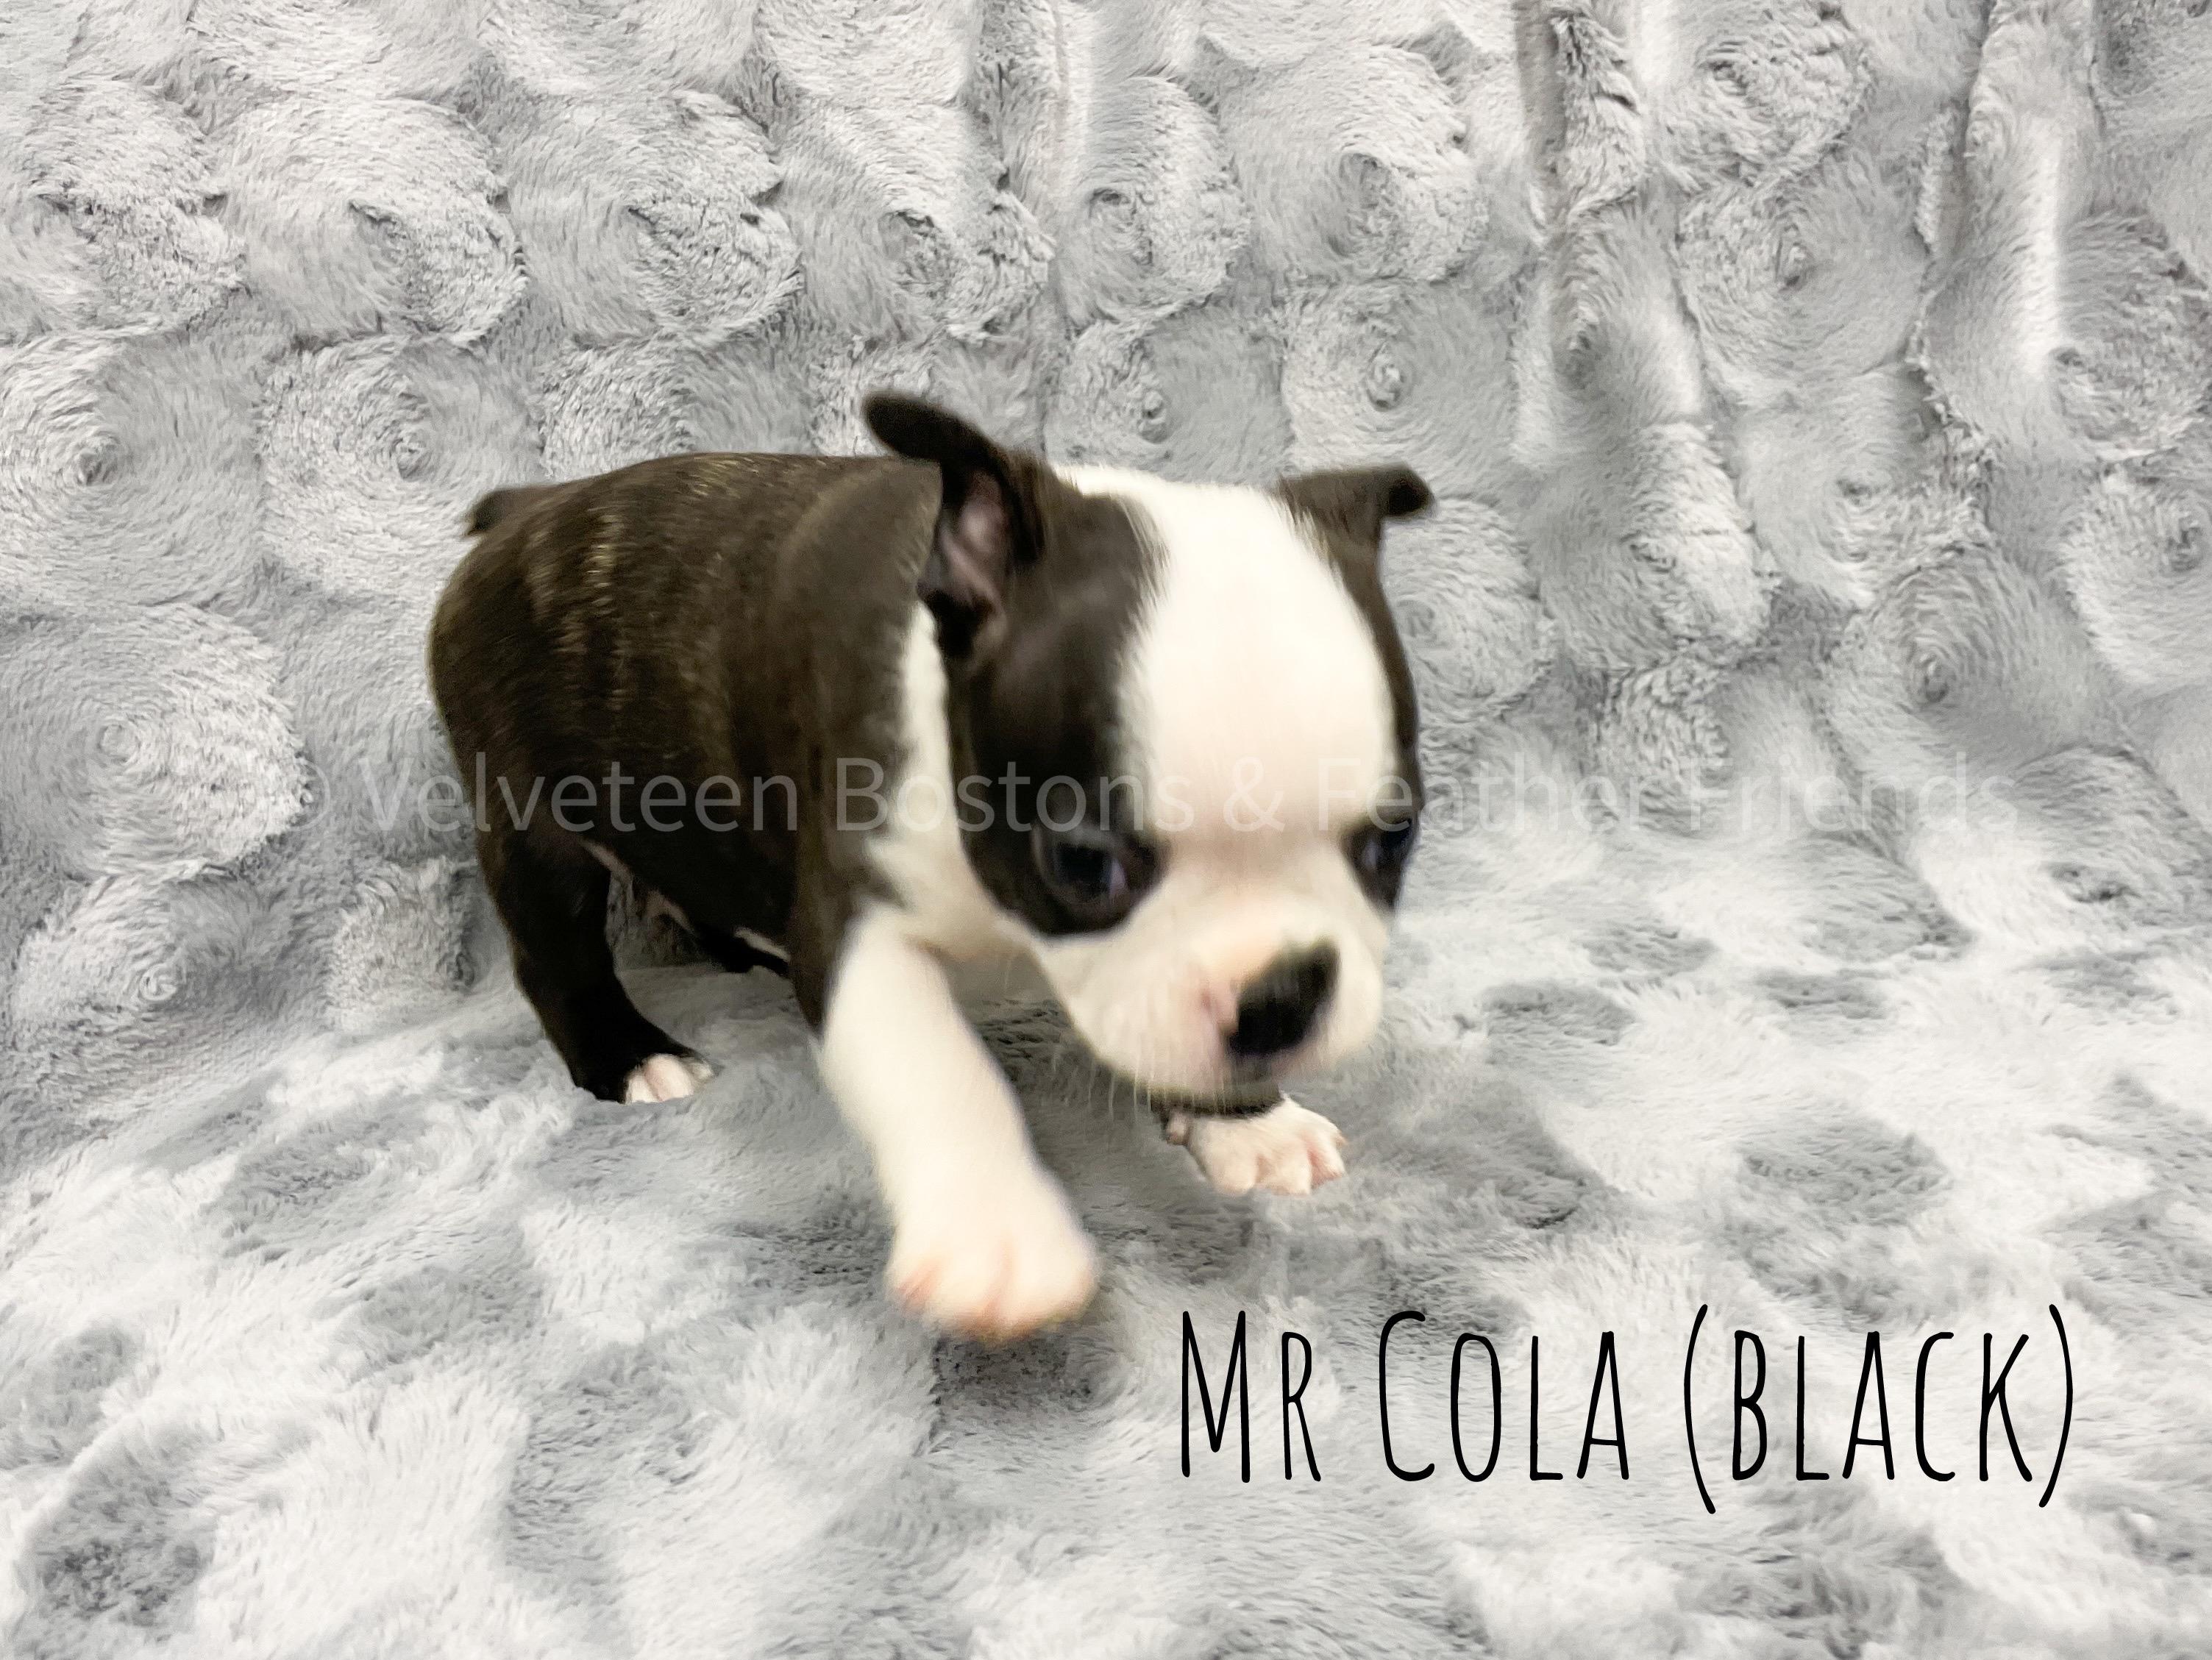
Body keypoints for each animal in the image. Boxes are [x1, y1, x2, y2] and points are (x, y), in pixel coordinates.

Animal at [428, 395, 1431, 1340]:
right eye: (1083, 863)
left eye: (1395, 840)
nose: (1283, 998)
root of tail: (527, 508)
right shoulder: (861, 925)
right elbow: (939, 1069)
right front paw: (997, 1232)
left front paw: (1250, 1123)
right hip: (527, 813)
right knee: (555, 951)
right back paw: (631, 1055)